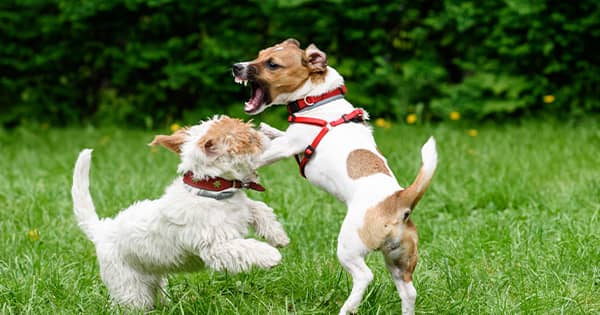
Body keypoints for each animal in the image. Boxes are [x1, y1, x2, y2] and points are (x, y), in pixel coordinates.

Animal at [71, 116, 290, 312]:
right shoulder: (215, 247)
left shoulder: (242, 210)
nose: (266, 133)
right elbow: (244, 247)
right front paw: (271, 255)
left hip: (153, 279)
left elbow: (259, 208)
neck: (212, 191)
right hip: (129, 287)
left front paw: (278, 236)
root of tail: (102, 229)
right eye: (249, 139)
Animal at [231, 40, 436, 315]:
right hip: (398, 259)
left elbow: (262, 151)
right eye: (260, 54)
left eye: (272, 64)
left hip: (349, 247)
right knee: (408, 291)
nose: (236, 66)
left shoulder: (287, 145)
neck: (316, 99)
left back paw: (348, 308)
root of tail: (399, 200)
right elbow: (275, 134)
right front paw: (267, 129)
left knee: (364, 276)